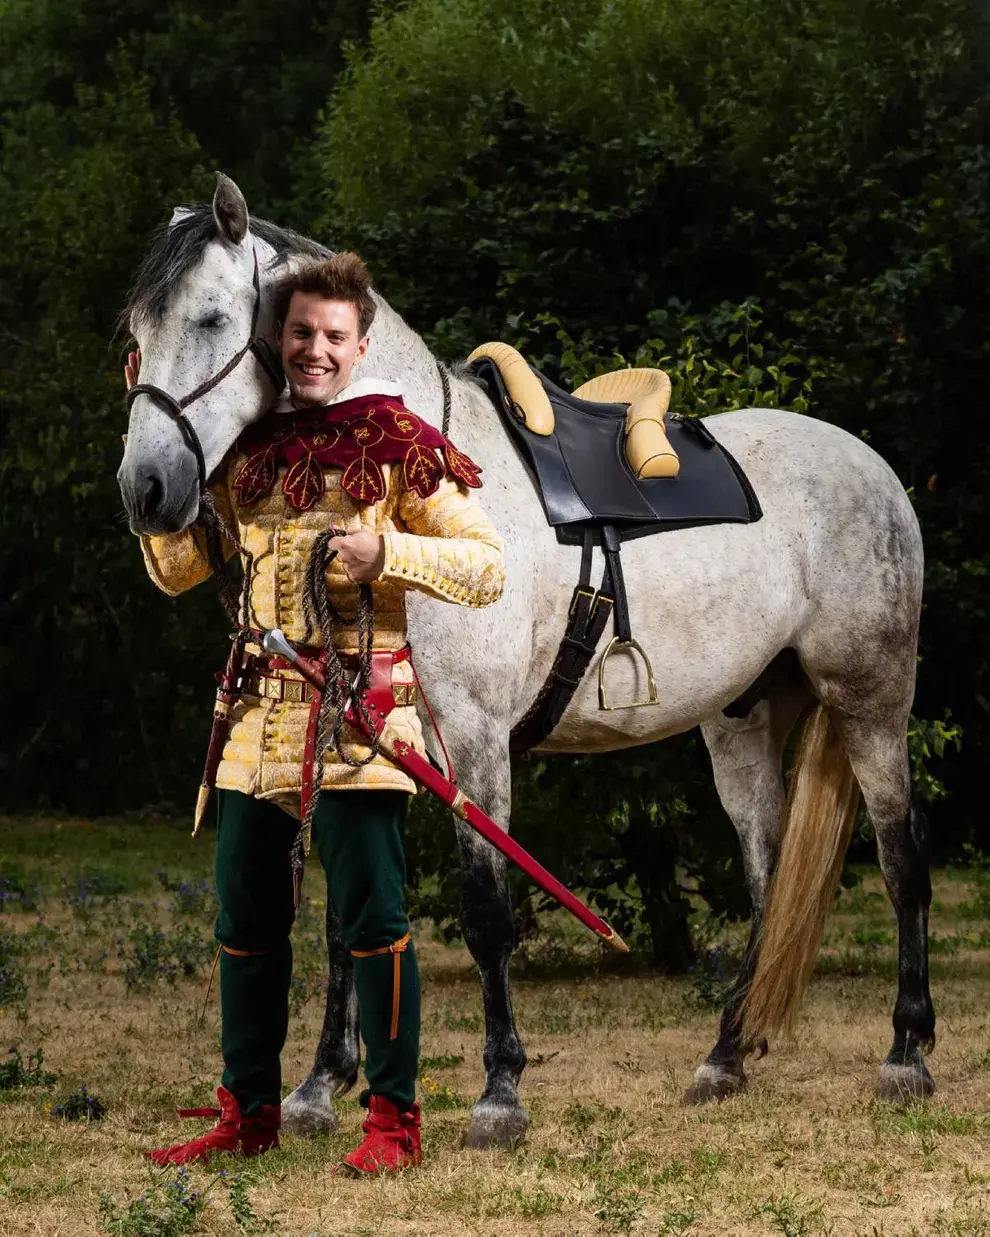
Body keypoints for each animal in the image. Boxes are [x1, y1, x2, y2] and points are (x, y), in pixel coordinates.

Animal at [117, 174, 935, 1147]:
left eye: (211, 317)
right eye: (136, 331)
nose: (146, 489)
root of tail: (872, 467)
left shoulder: (473, 740)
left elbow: (485, 910)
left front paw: (500, 1090)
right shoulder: (365, 746)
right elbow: (347, 917)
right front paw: (320, 1083)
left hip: (871, 700)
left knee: (901, 860)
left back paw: (907, 1051)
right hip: (743, 721)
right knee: (769, 878)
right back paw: (726, 1055)